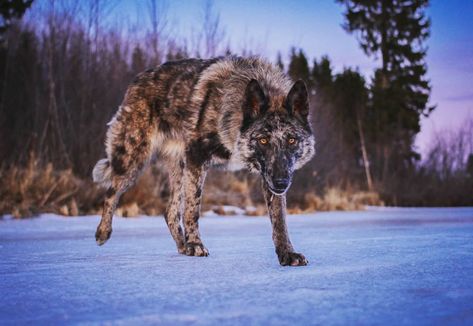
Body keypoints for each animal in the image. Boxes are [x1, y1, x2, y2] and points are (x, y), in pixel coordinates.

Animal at [92, 56, 314, 264]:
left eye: (292, 140)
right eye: (263, 140)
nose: (282, 182)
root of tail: (138, 80)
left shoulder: (269, 175)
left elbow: (279, 220)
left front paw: (287, 253)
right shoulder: (197, 158)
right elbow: (193, 207)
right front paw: (195, 244)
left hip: (179, 169)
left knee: (170, 211)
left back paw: (182, 246)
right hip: (134, 159)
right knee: (111, 192)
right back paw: (103, 232)